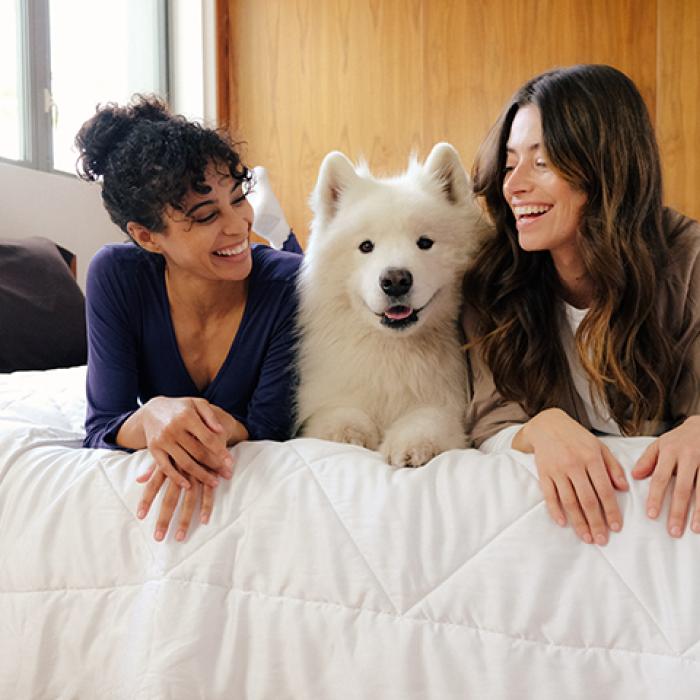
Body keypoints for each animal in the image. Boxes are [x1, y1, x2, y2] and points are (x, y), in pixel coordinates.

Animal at [298, 144, 490, 464]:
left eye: (424, 243)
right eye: (366, 246)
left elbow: (427, 419)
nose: (396, 280)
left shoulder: (447, 405)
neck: (394, 351)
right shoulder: (332, 394)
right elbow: (338, 413)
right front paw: (347, 434)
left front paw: (413, 446)